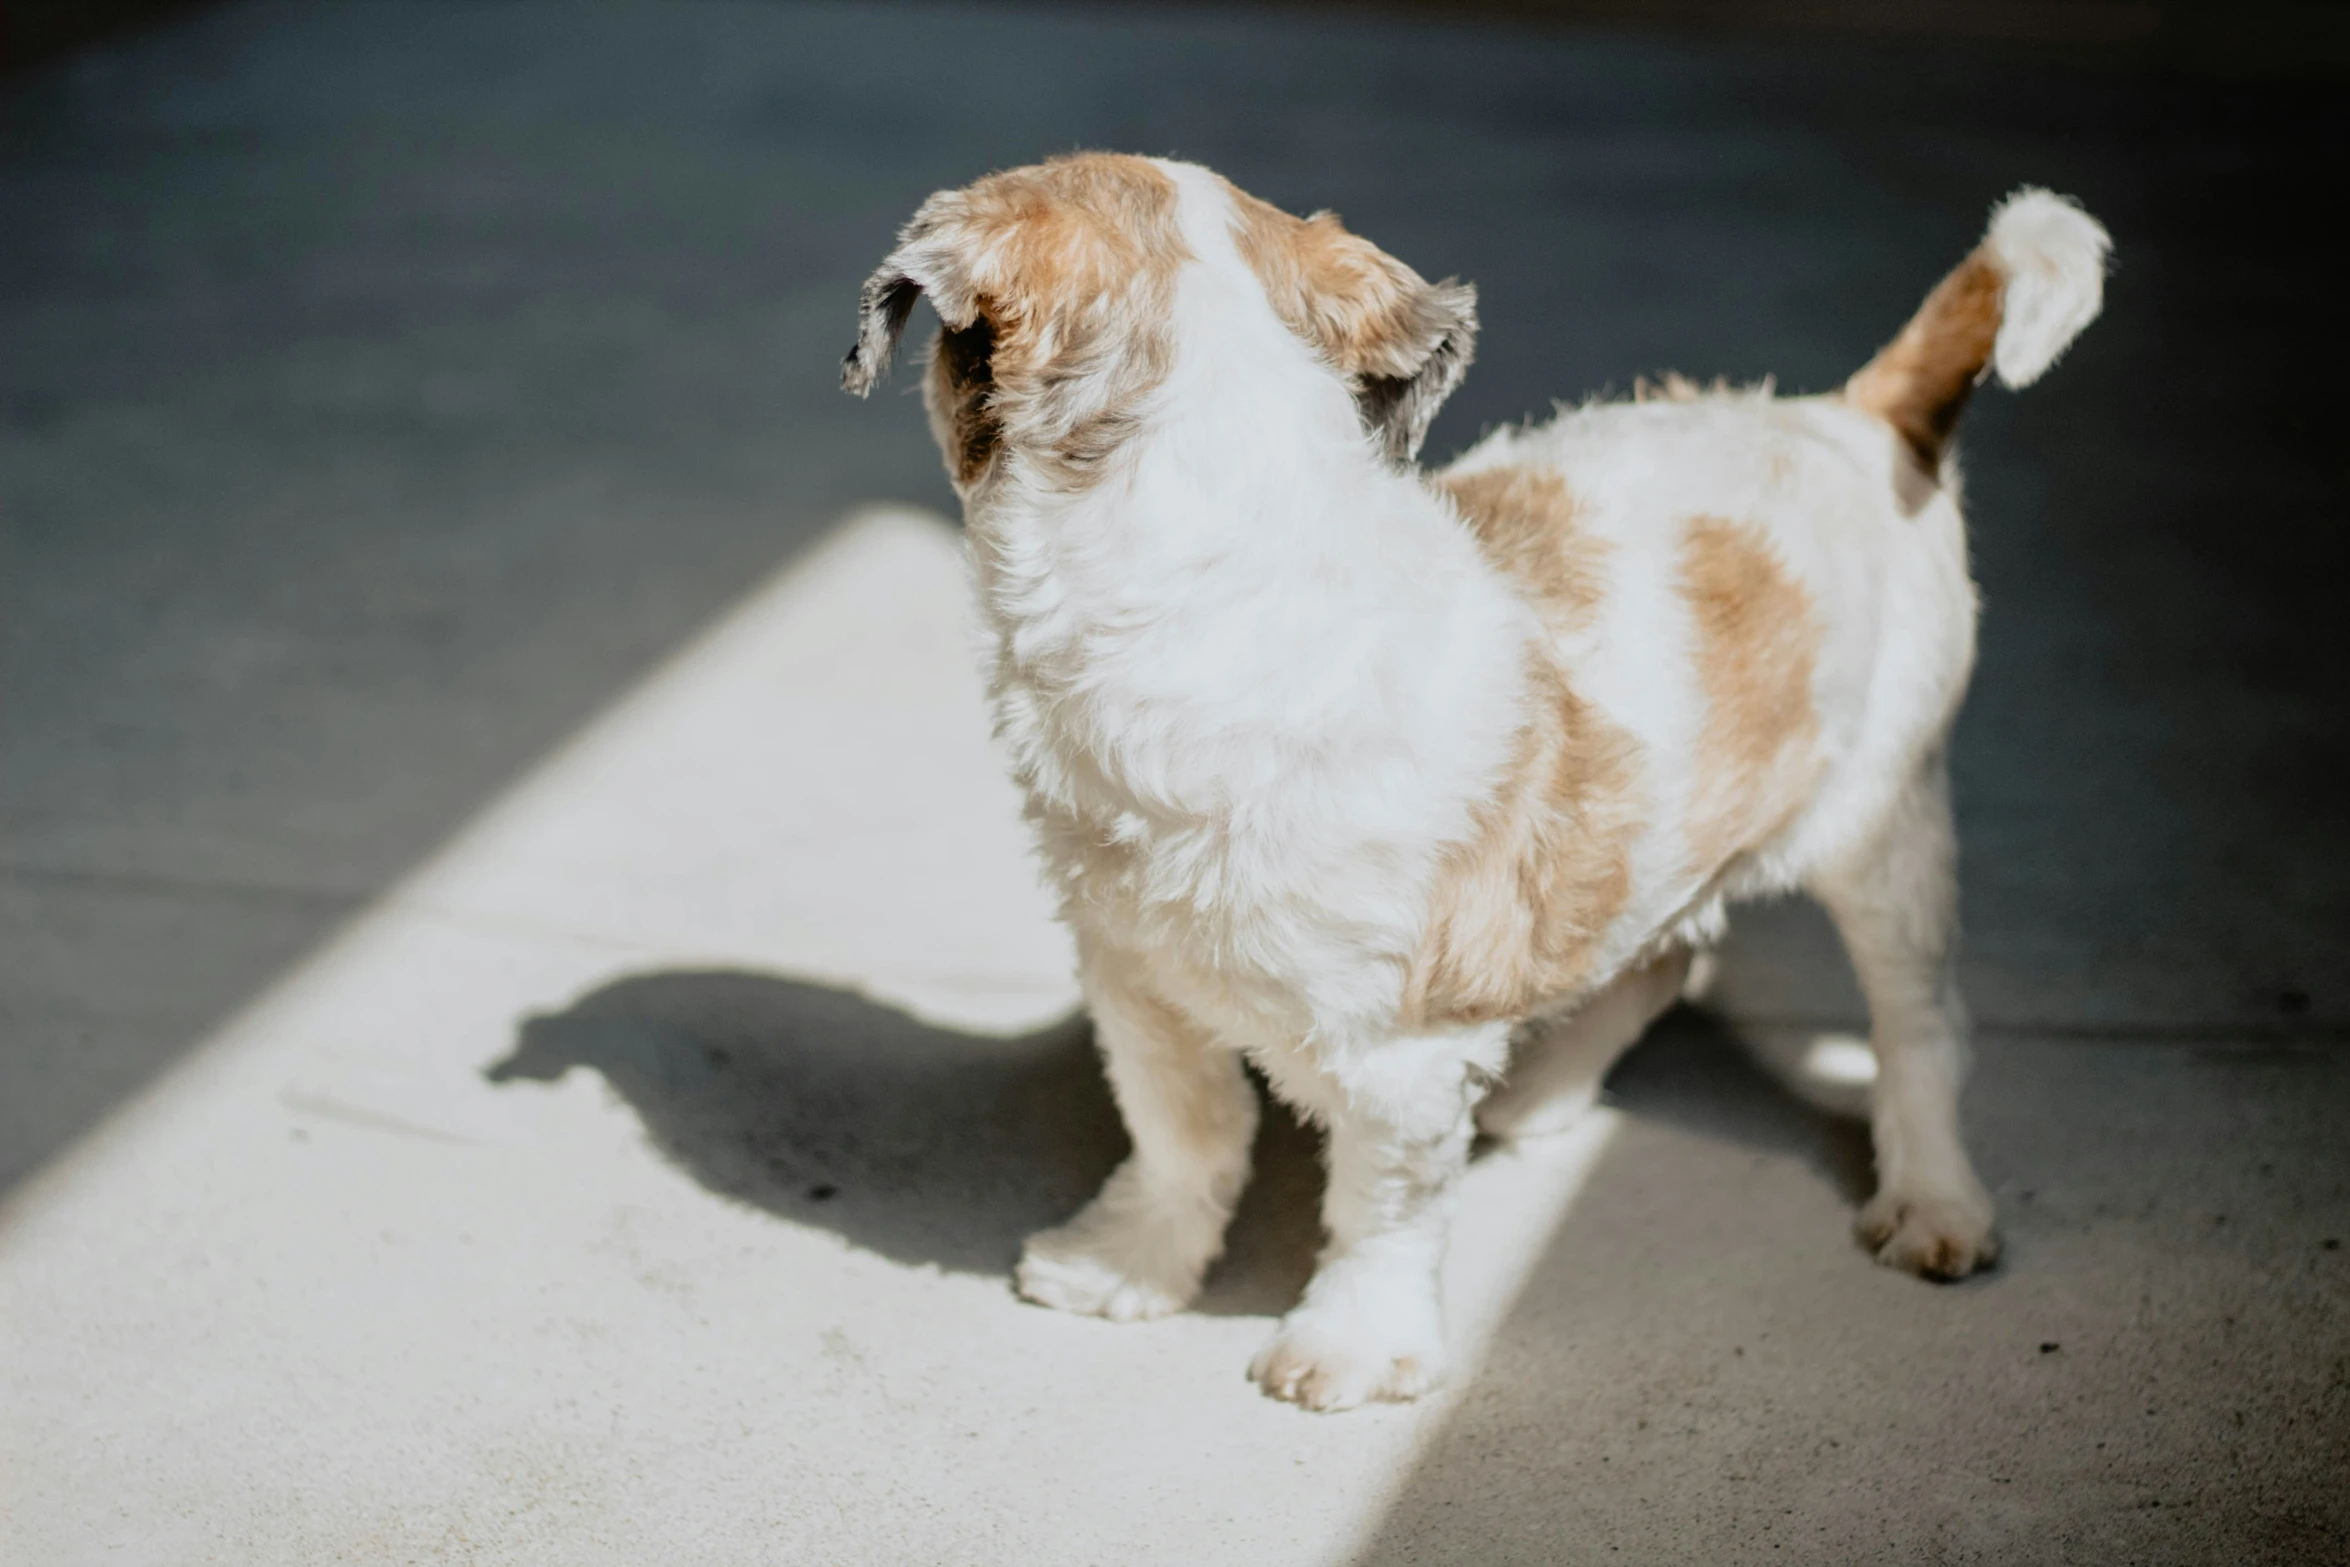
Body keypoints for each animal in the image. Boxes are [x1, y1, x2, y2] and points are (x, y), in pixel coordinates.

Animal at [845, 156, 2115, 1409]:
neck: (1218, 581)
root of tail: (1852, 420)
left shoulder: (1393, 1055)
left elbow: (1381, 1207)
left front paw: (1350, 1343)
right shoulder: (1136, 978)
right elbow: (1182, 1130)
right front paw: (1133, 1261)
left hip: (1882, 829)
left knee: (1917, 1025)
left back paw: (1933, 1199)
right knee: (1654, 955)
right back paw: (1543, 1085)